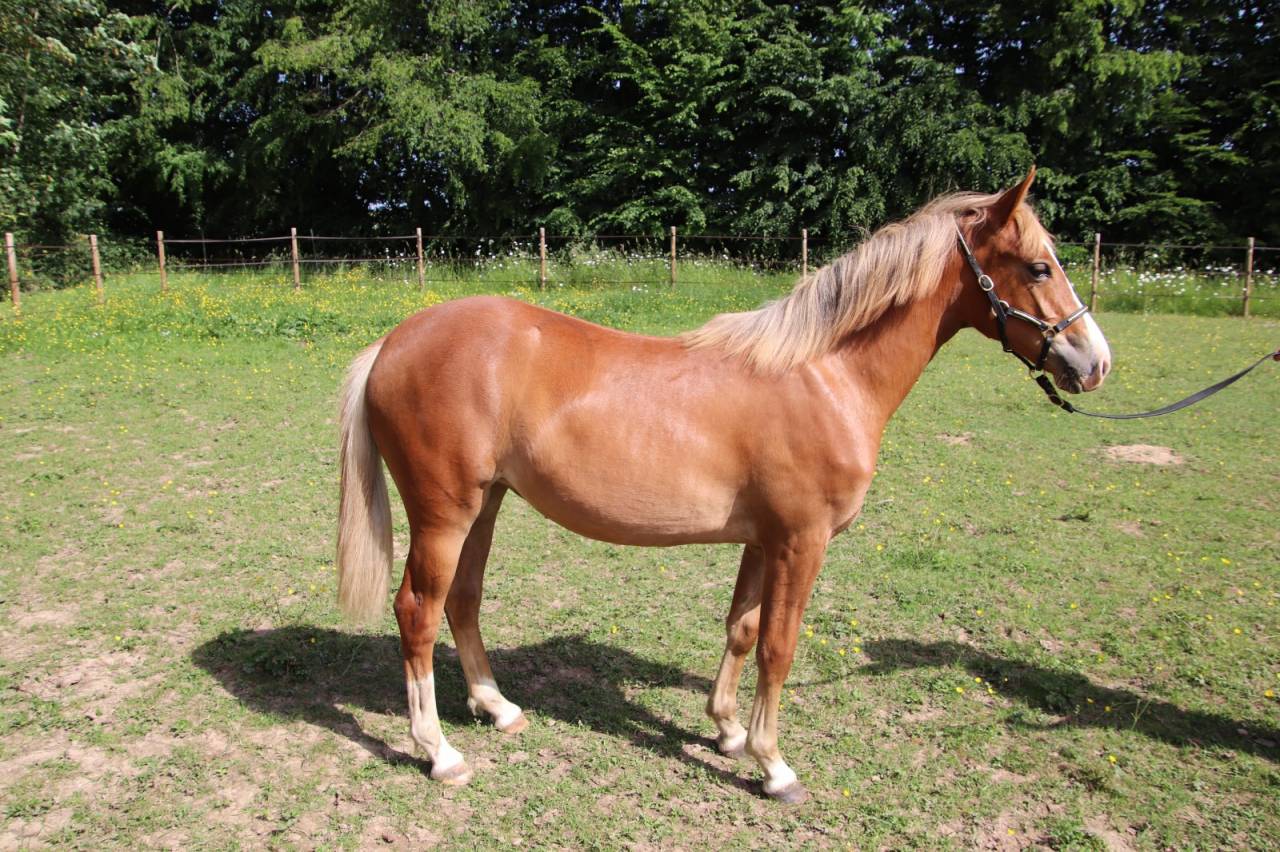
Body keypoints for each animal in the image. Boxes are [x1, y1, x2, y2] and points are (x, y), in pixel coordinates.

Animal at [334, 167, 1111, 803]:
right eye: (1038, 266)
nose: (1094, 361)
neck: (823, 376)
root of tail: (393, 343)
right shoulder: (802, 541)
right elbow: (779, 645)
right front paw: (775, 766)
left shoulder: (765, 540)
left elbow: (742, 630)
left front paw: (729, 732)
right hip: (444, 514)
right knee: (418, 611)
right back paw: (439, 752)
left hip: (485, 506)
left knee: (462, 601)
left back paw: (497, 708)